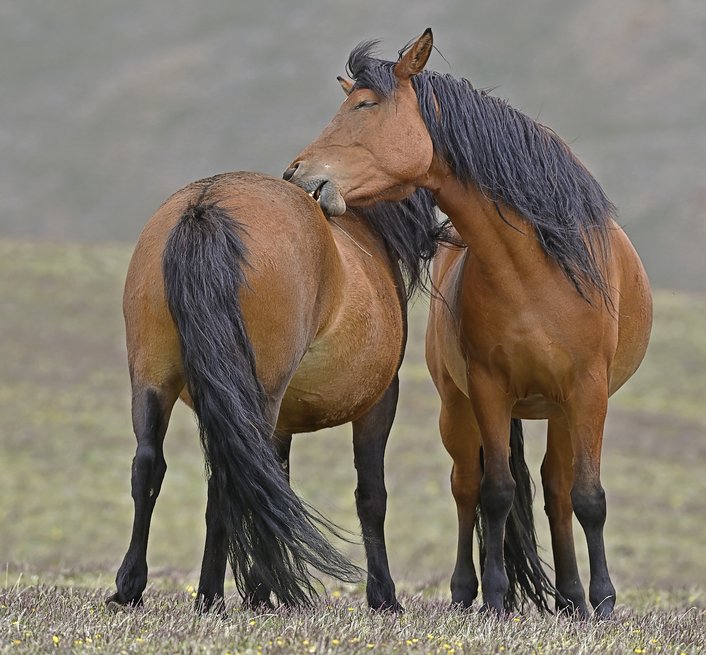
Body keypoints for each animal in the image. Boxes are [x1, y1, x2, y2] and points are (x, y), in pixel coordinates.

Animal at [106, 172, 442, 612]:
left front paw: (260, 591)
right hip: (256, 397)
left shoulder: (282, 423)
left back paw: (130, 587)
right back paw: (211, 596)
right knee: (227, 479)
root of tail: (205, 206)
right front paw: (383, 596)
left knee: (149, 466)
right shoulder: (381, 400)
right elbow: (371, 496)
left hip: (152, 380)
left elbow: (274, 484)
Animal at [284, 28, 652, 616]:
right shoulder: (488, 390)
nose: (298, 176)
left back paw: (573, 598)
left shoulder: (588, 391)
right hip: (459, 410)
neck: (536, 270)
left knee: (558, 490)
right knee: (466, 487)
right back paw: (466, 592)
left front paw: (603, 601)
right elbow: (495, 492)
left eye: (364, 106)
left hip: (562, 410)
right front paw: (496, 599)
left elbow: (588, 498)